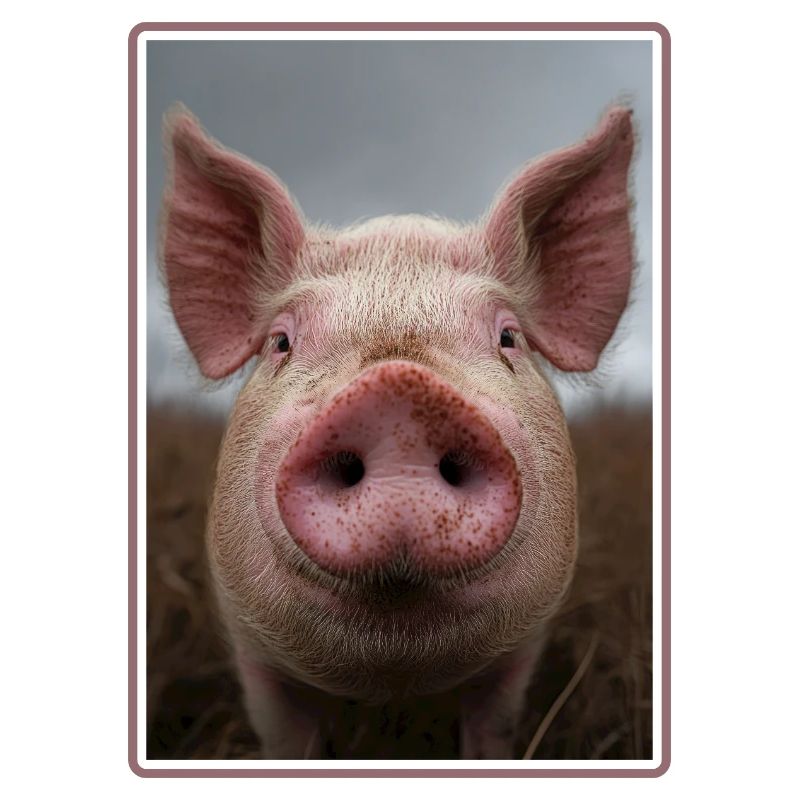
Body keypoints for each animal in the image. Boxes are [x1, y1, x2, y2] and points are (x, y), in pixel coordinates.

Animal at [159, 103, 636, 759]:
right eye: (281, 342)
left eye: (508, 337)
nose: (398, 391)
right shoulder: (253, 651)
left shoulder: (521, 651)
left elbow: (493, 730)